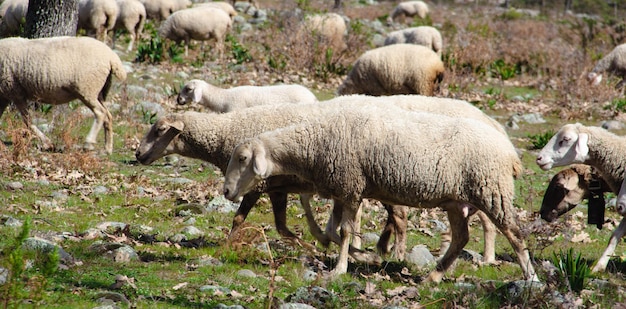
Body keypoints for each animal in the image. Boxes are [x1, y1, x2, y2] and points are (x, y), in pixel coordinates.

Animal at [224, 104, 536, 280]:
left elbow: (344, 232)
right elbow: (332, 232)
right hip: (456, 201)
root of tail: (510, 153)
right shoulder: (344, 189)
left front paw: (340, 268)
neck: (315, 143)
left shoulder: (350, 187)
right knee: (461, 238)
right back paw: (433, 277)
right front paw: (366, 257)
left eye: (242, 158)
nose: (226, 191)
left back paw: (530, 278)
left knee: (515, 235)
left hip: (492, 191)